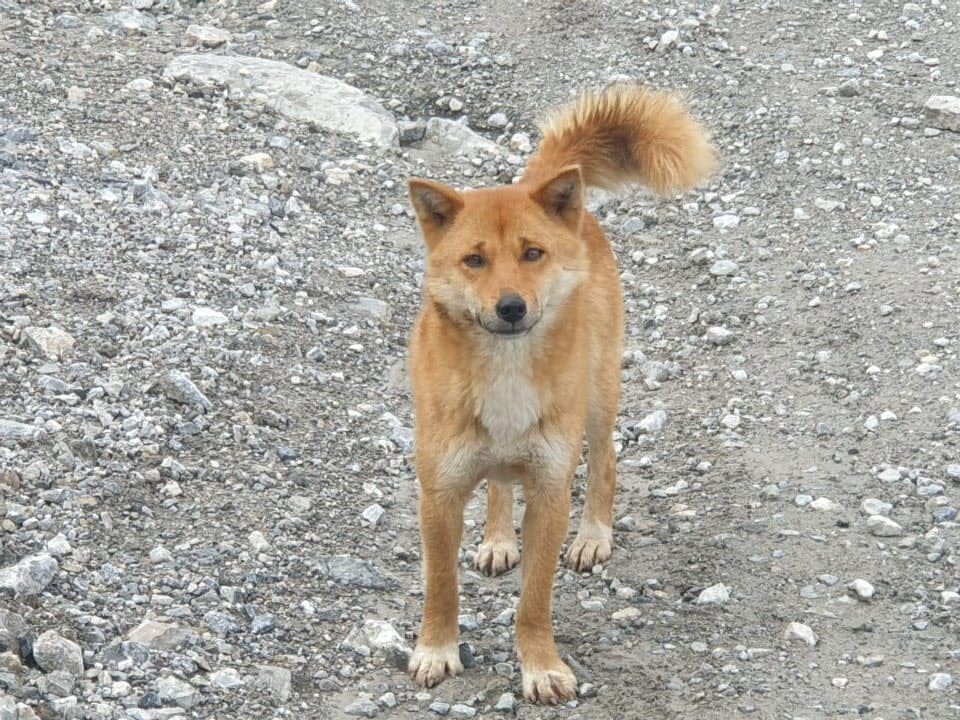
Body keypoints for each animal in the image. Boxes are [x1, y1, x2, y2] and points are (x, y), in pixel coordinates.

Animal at [404, 84, 712, 704]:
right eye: (474, 260)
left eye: (532, 253)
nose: (511, 307)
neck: (505, 371)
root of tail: (540, 184)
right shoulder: (439, 493)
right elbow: (441, 584)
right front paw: (436, 649)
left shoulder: (550, 490)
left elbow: (534, 600)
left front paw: (540, 666)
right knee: (500, 484)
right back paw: (499, 539)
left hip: (597, 397)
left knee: (606, 462)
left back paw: (593, 536)